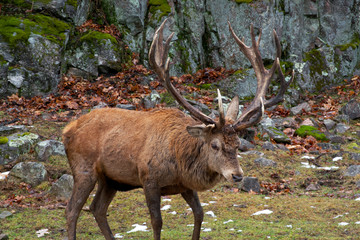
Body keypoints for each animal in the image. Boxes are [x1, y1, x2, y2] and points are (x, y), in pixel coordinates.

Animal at [62, 17, 292, 239]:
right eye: (215, 145)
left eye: (238, 145)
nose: (237, 175)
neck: (179, 162)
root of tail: (68, 130)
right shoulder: (149, 178)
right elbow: (157, 222)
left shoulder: (185, 186)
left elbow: (199, 214)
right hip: (84, 168)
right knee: (72, 210)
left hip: (110, 179)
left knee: (97, 208)